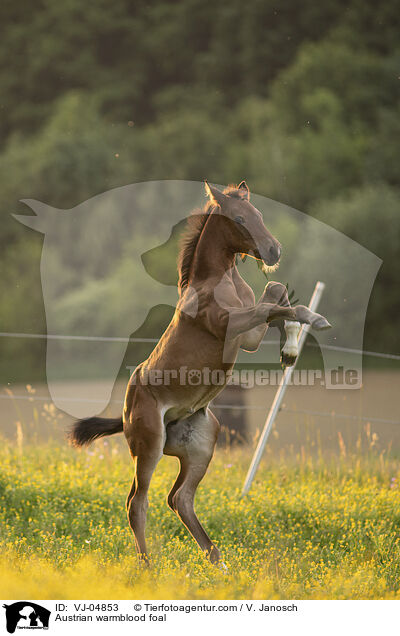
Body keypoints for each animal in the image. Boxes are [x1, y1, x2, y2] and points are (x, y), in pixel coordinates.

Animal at [69, 181, 332, 564]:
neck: (220, 281)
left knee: (180, 499)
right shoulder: (229, 325)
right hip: (148, 445)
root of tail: (125, 412)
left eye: (259, 214)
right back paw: (149, 567)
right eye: (239, 219)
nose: (273, 250)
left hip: (203, 443)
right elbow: (275, 304)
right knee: (137, 503)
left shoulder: (247, 339)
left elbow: (276, 294)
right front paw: (315, 320)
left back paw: (219, 563)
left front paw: (292, 349)